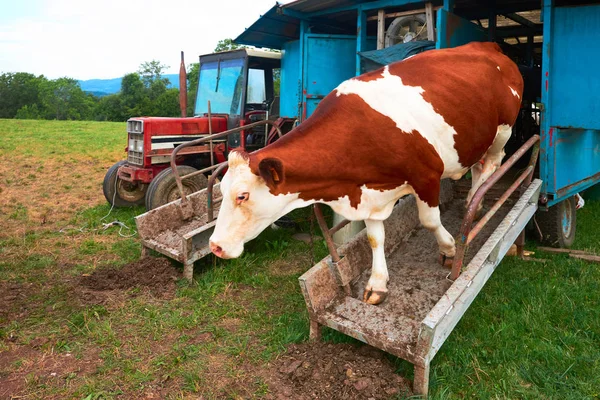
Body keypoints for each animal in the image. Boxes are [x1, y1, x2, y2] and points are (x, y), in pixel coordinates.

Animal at [209, 41, 524, 306]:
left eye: (242, 195)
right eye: (221, 191)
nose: (215, 246)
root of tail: (486, 45)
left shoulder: (427, 177)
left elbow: (430, 220)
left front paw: (448, 250)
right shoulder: (369, 192)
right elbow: (375, 238)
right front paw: (377, 284)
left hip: (503, 130)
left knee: (492, 164)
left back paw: (477, 202)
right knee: (477, 165)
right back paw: (474, 198)